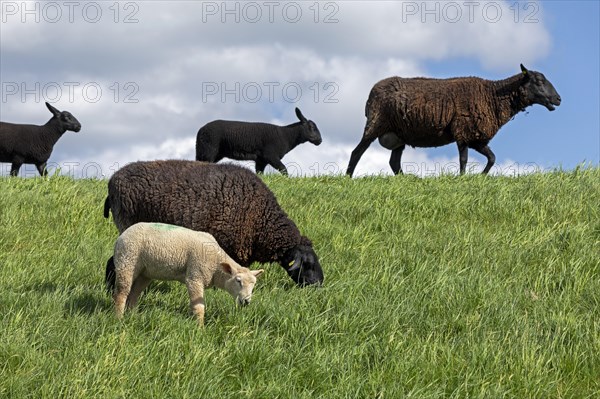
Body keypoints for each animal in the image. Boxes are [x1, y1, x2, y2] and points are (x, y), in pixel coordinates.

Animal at [110, 223, 264, 326]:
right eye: (238, 281)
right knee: (121, 293)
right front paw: (200, 328)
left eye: (254, 285)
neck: (216, 263)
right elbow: (199, 307)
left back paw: (132, 315)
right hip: (127, 260)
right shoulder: (195, 276)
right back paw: (119, 318)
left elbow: (194, 305)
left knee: (133, 294)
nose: (246, 301)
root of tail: (122, 236)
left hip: (145, 272)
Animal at [346, 64, 564, 177]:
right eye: (538, 81)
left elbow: (492, 158)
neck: (493, 96)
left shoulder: (477, 138)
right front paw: (462, 178)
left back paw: (407, 180)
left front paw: (481, 177)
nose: (558, 99)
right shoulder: (464, 131)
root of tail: (371, 93)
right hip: (375, 123)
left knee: (394, 162)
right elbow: (464, 159)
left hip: (399, 135)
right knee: (357, 152)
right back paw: (348, 177)